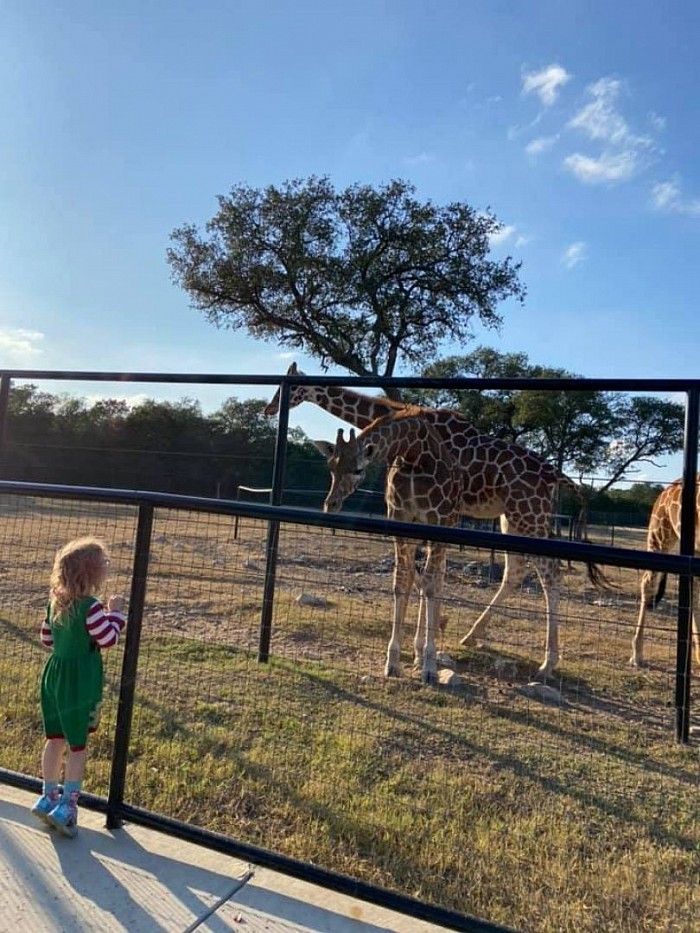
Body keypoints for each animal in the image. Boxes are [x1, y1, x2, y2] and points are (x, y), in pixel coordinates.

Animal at [314, 412, 464, 680]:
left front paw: (429, 667)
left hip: (447, 527)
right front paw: (393, 661)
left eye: (358, 469)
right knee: (421, 578)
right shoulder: (399, 520)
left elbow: (431, 587)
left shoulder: (437, 522)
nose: (330, 504)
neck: (415, 453)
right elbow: (401, 583)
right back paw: (417, 652)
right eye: (331, 466)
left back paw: (425, 655)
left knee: (436, 580)